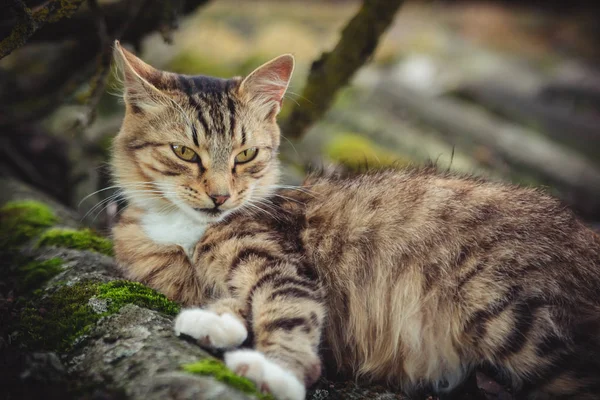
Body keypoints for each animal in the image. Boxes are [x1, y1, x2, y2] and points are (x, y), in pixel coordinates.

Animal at [110, 41, 600, 400]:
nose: (220, 196)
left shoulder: (283, 265)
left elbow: (286, 310)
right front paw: (216, 320)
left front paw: (278, 370)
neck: (183, 229)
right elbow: (235, 301)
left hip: (510, 316)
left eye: (245, 155)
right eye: (184, 152)